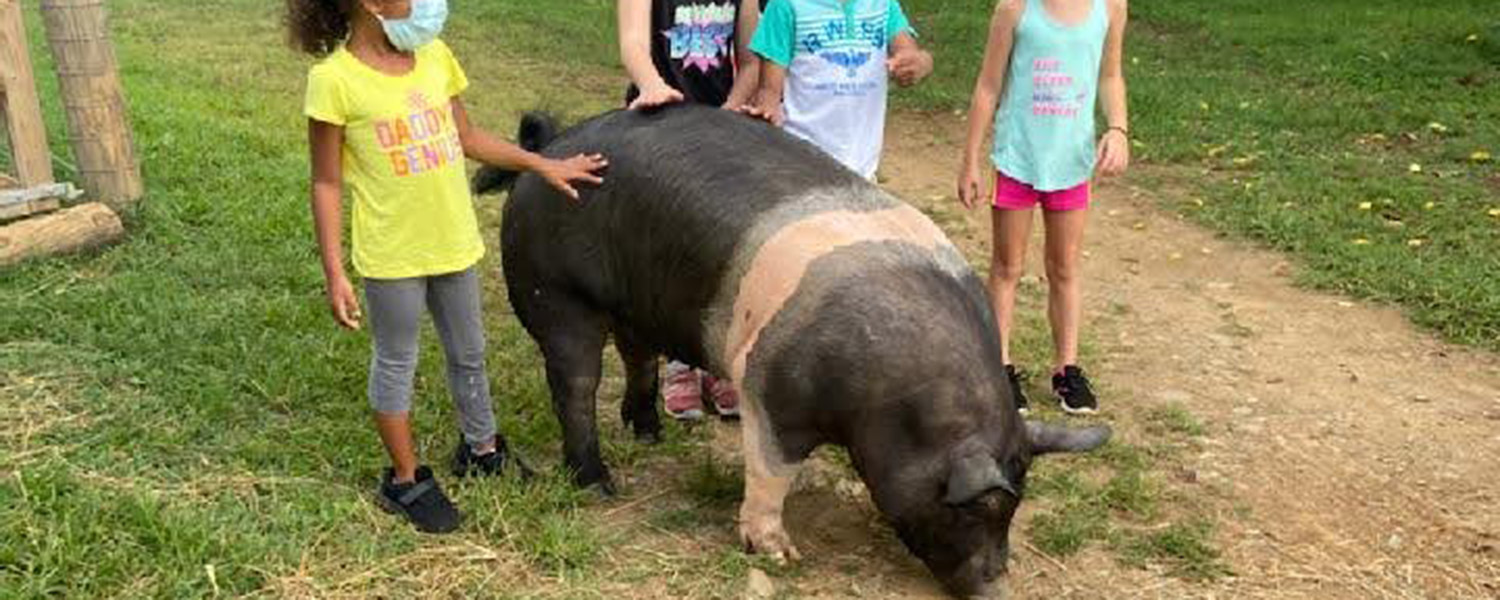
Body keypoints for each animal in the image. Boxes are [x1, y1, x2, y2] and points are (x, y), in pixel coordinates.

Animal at [474, 105, 1110, 597]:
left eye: (1017, 504)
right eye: (977, 508)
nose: (995, 589)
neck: (892, 405)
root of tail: (549, 146)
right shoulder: (770, 389)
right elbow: (770, 470)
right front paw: (778, 555)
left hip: (634, 302)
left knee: (638, 355)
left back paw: (650, 433)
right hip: (554, 292)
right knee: (575, 384)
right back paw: (599, 484)